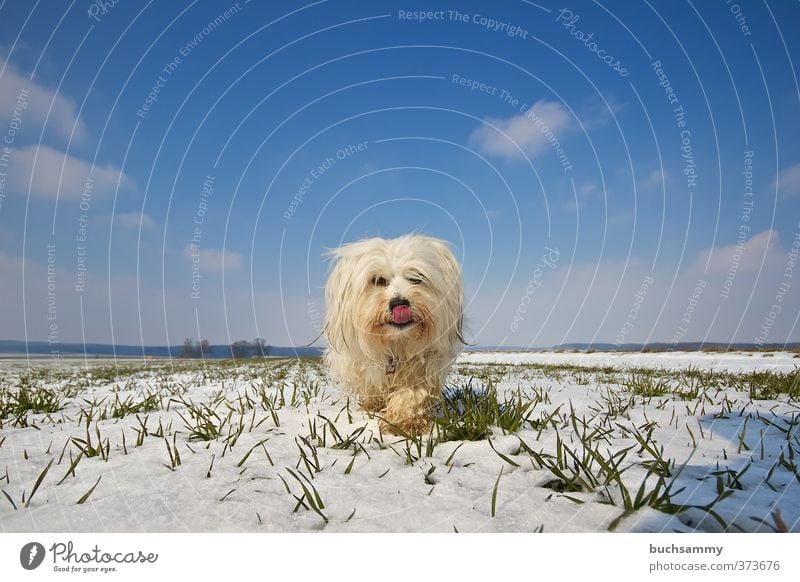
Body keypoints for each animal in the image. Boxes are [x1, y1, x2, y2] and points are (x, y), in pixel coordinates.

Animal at [324, 235, 466, 436]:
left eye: (416, 278)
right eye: (378, 280)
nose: (399, 303)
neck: (396, 343)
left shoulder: (423, 364)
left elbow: (411, 393)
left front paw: (405, 422)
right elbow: (371, 385)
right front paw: (374, 404)